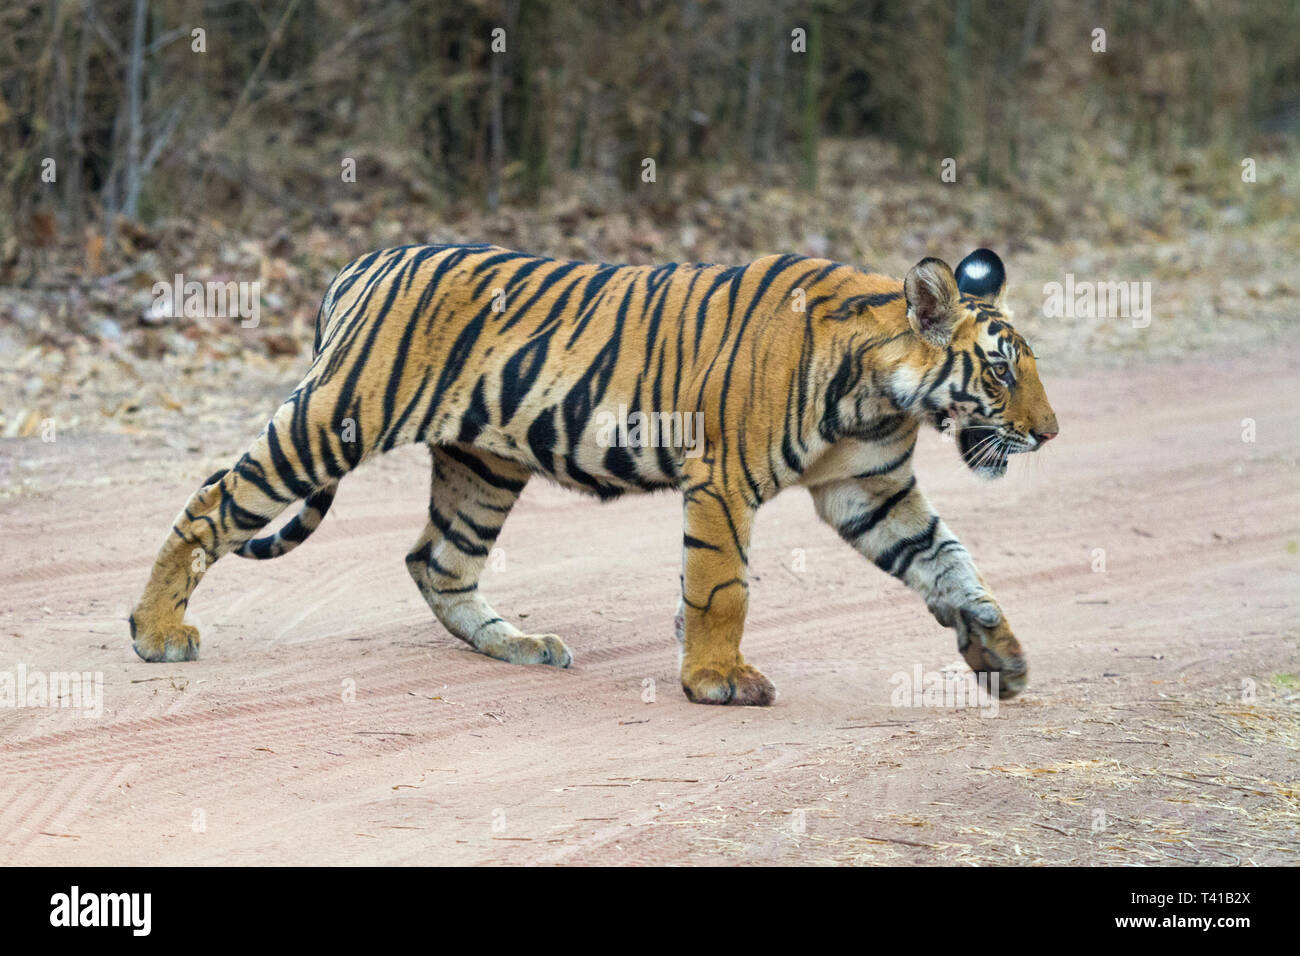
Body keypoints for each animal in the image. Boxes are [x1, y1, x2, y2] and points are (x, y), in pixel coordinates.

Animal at [129, 243, 1055, 707]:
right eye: (1001, 370)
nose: (1049, 434)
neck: (879, 394)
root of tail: (364, 262)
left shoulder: (872, 491)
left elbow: (949, 561)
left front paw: (999, 652)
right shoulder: (722, 481)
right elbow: (721, 587)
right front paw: (716, 679)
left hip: (483, 464)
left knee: (438, 560)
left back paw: (519, 645)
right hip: (335, 418)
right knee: (215, 499)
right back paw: (157, 630)